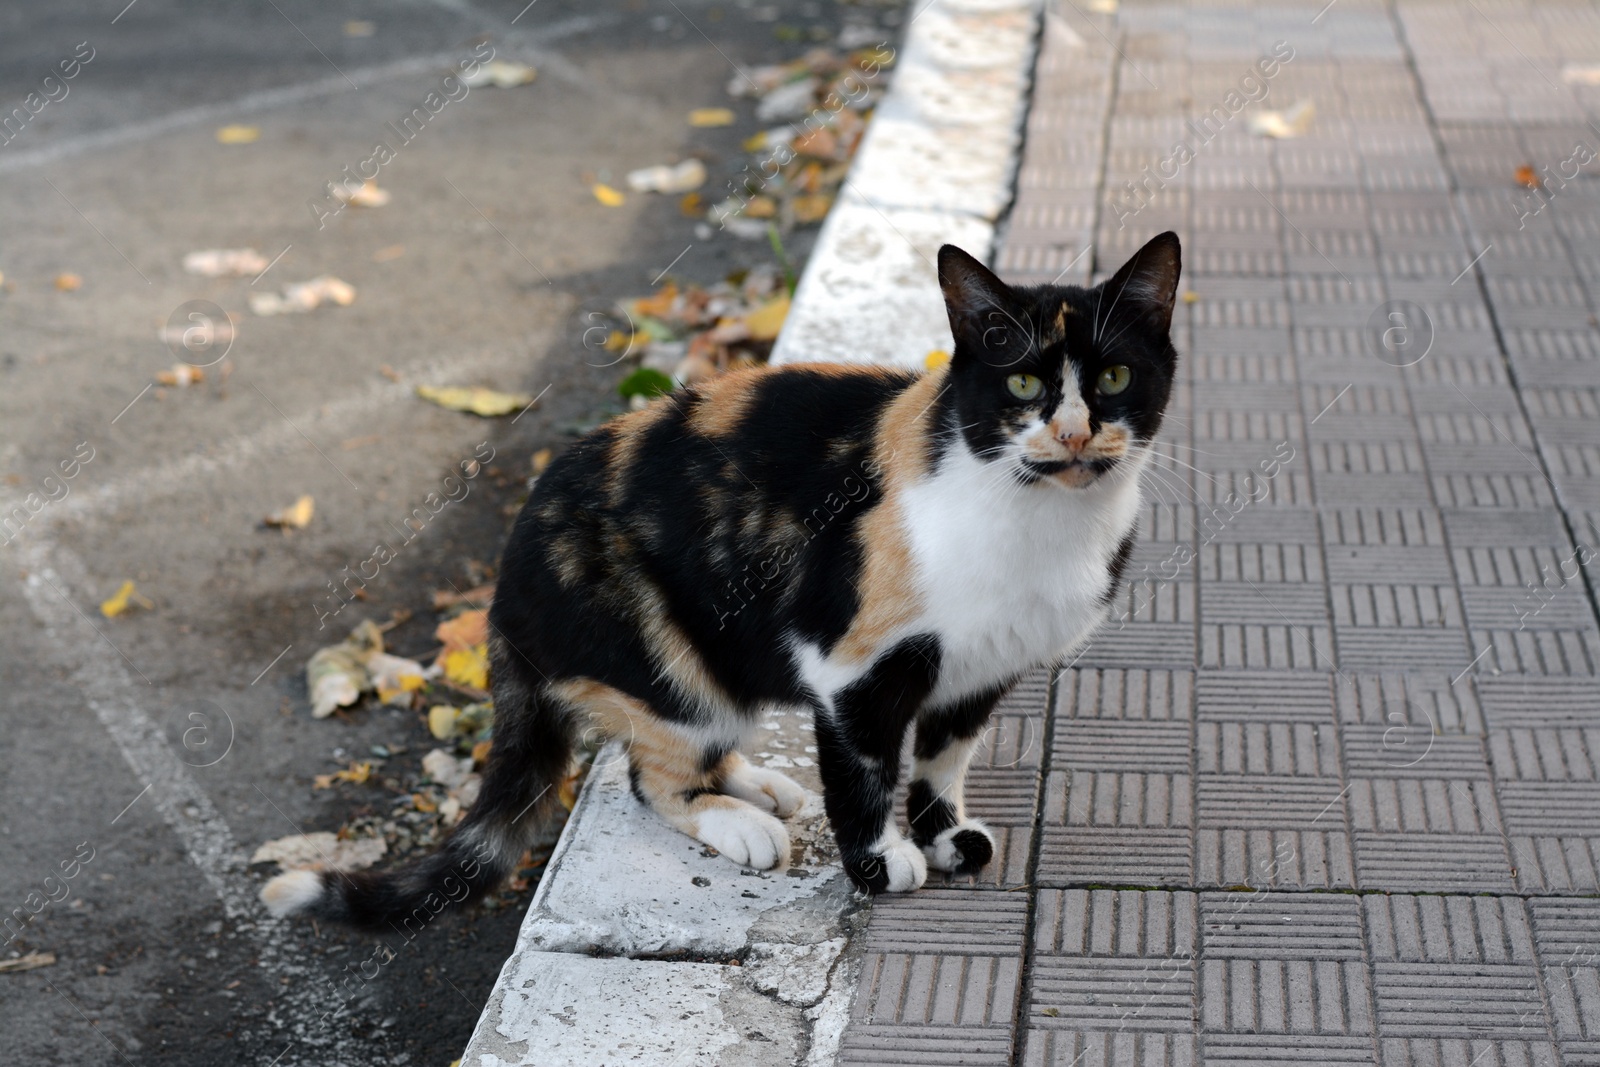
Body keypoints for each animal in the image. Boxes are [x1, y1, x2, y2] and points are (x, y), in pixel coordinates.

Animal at [262, 231, 1184, 927]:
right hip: (667, 653)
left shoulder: (984, 668)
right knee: (652, 775)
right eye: (1022, 379)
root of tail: (501, 592)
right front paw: (881, 860)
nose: (1074, 432)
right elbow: (866, 770)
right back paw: (740, 821)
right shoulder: (850, 664)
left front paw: (943, 834)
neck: (1035, 520)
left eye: (1114, 376)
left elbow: (944, 758)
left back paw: (756, 783)